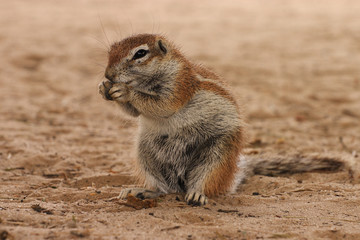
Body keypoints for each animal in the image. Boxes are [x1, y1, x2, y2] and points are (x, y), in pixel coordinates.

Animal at [97, 33, 346, 206]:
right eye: (111, 50)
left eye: (140, 54)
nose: (109, 75)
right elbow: (134, 113)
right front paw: (104, 88)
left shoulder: (179, 86)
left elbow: (162, 105)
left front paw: (124, 90)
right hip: (146, 154)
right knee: (165, 188)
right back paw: (144, 191)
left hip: (218, 153)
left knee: (205, 182)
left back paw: (197, 195)